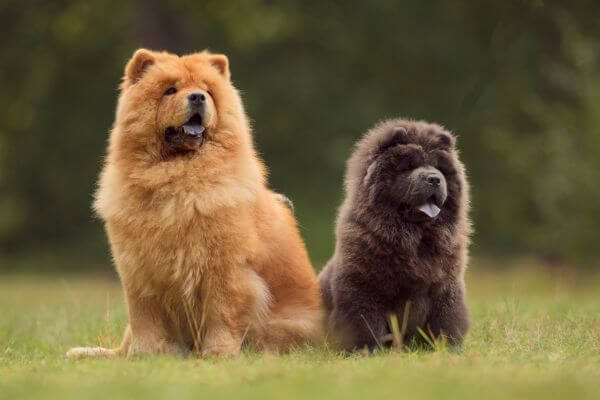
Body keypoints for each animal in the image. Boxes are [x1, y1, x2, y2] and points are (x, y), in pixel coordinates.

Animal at [322, 118, 472, 350]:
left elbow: (447, 318)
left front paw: (448, 348)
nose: (434, 179)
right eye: (408, 167)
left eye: (439, 168)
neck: (415, 240)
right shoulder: (363, 287)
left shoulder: (445, 287)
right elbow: (365, 321)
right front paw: (366, 350)